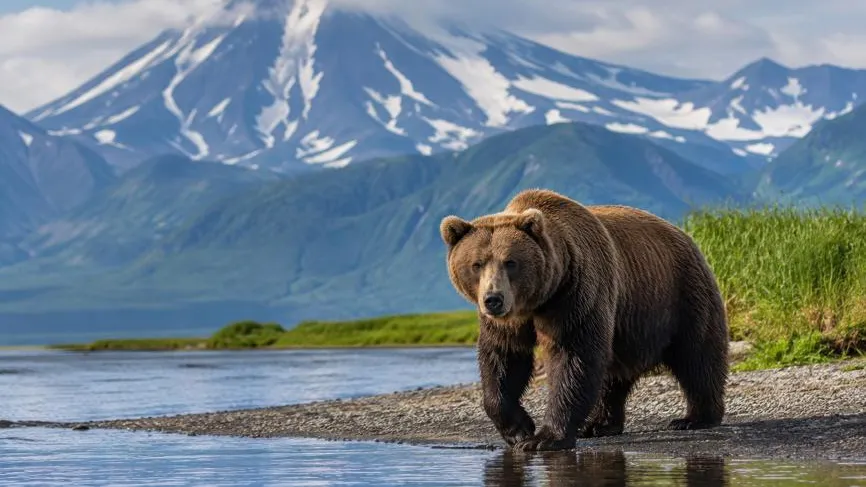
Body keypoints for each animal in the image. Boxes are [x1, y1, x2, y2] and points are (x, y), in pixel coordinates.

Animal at [439, 188, 728, 451]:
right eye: (477, 264)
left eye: (510, 262)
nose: (493, 299)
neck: (537, 301)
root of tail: (684, 235)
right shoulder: (509, 321)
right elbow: (503, 359)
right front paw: (519, 430)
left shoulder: (575, 295)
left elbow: (573, 355)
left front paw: (545, 438)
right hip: (628, 322)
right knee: (614, 372)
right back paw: (600, 424)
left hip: (681, 295)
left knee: (697, 356)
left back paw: (695, 418)